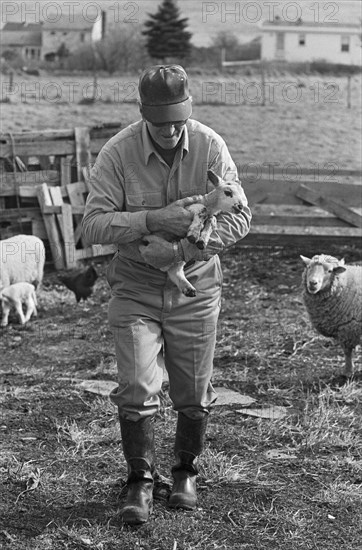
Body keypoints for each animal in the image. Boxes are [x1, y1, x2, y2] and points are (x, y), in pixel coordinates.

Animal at [140, 170, 247, 298]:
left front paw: (202, 241)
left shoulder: (210, 217)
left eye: (242, 195)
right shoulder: (190, 207)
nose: (240, 207)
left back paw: (188, 289)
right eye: (228, 192)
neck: (209, 205)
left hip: (177, 258)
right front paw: (194, 235)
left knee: (175, 271)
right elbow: (202, 210)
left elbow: (212, 221)